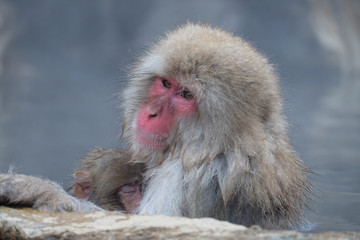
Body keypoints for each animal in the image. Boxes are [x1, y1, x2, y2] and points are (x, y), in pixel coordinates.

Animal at [0, 23, 310, 230]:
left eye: (186, 95)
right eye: (166, 83)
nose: (150, 113)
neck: (213, 145)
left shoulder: (191, 179)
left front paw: (41, 190)